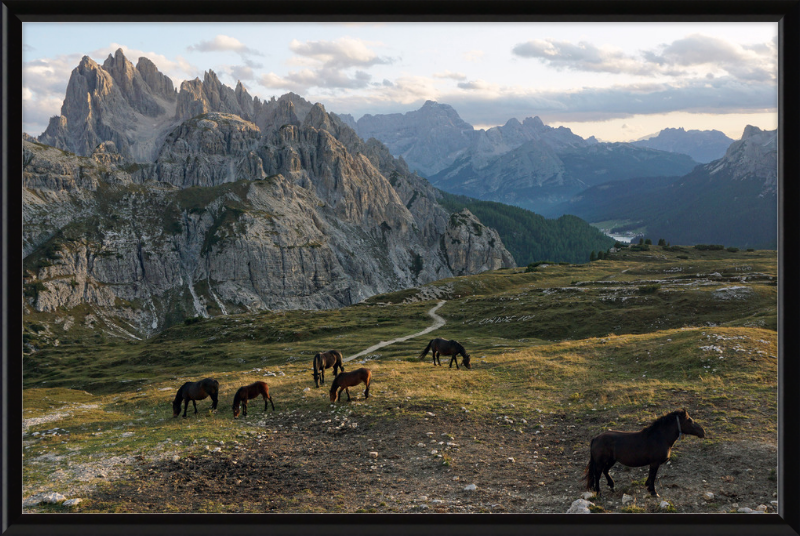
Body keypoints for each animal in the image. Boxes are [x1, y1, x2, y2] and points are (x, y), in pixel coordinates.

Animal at [580, 408, 708, 496]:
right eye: (690, 420)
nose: (703, 432)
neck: (660, 437)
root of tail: (595, 438)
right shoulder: (655, 463)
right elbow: (653, 475)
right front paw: (653, 492)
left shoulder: (653, 463)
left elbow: (650, 476)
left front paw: (648, 486)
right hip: (601, 462)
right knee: (597, 474)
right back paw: (598, 492)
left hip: (611, 460)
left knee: (605, 471)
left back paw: (612, 486)